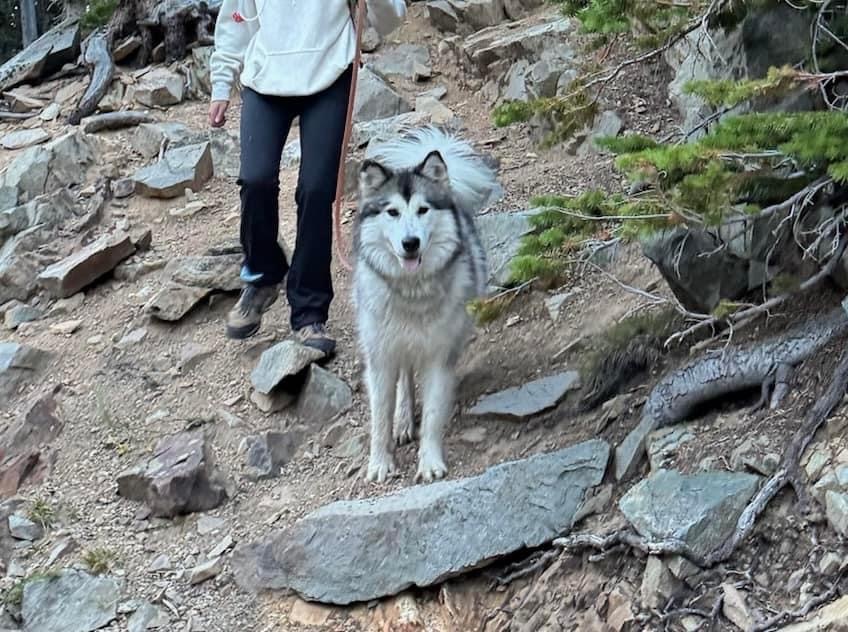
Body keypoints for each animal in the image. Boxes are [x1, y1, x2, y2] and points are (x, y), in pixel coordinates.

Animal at [350, 128, 496, 484]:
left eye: (423, 210)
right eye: (392, 212)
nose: (410, 243)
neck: (411, 292)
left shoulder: (439, 357)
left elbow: (432, 415)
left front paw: (429, 462)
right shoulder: (380, 357)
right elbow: (379, 418)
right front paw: (380, 463)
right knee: (404, 380)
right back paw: (403, 420)